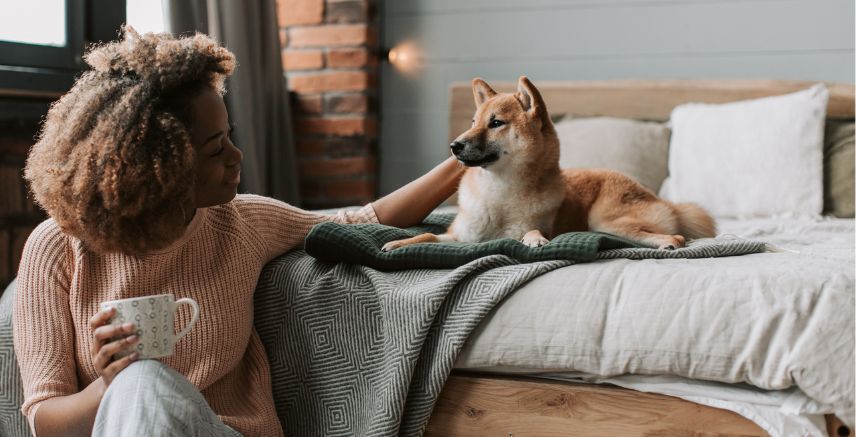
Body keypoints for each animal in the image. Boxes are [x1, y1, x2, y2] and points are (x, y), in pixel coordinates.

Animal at [382, 76, 716, 250]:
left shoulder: (524, 227)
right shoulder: (458, 237)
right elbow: (426, 235)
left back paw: (667, 243)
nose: (454, 146)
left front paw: (535, 240)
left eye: (496, 123)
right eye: (473, 122)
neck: (498, 192)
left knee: (677, 236)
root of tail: (661, 199)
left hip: (605, 220)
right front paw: (398, 244)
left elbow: (530, 232)